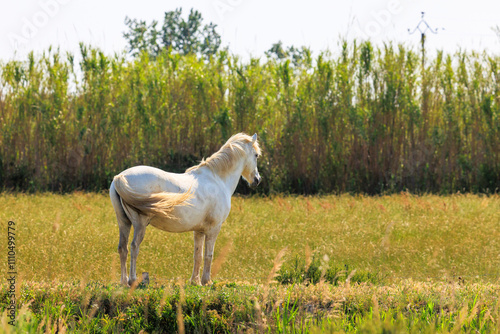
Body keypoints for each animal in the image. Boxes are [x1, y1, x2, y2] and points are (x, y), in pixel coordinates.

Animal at [109, 132, 262, 284]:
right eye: (256, 155)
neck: (218, 179)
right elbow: (209, 255)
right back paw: (132, 280)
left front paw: (195, 282)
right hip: (139, 224)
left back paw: (124, 282)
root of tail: (120, 177)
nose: (257, 180)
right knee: (134, 246)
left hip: (124, 222)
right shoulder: (214, 228)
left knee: (123, 248)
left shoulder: (199, 231)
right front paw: (207, 281)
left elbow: (198, 255)